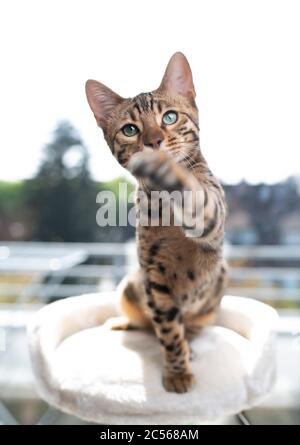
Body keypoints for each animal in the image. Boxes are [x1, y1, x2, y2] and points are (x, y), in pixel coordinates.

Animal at [85, 53, 226, 392]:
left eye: (170, 117)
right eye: (130, 129)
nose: (154, 142)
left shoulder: (212, 221)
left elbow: (198, 201)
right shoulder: (154, 275)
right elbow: (168, 332)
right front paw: (177, 370)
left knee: (194, 326)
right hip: (130, 287)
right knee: (147, 324)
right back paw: (123, 322)